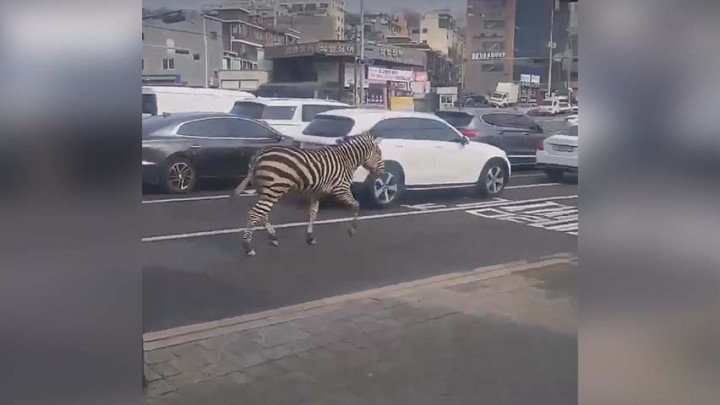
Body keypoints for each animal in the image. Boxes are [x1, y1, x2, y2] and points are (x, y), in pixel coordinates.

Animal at [231, 131, 385, 256]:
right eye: (379, 154)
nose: (382, 173)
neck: (347, 160)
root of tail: (259, 154)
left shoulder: (316, 192)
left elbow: (313, 213)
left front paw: (310, 237)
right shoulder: (341, 189)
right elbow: (357, 205)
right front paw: (352, 230)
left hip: (265, 190)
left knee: (263, 213)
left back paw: (272, 237)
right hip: (274, 189)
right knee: (255, 213)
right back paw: (248, 247)